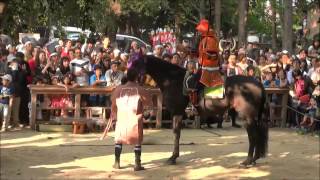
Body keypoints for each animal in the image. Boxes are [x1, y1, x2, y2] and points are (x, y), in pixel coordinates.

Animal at [129, 54, 268, 166]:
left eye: (136, 62)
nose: (127, 76)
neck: (172, 80)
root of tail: (257, 84)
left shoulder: (177, 112)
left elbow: (176, 133)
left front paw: (173, 157)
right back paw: (254, 158)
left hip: (247, 116)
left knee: (253, 135)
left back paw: (248, 160)